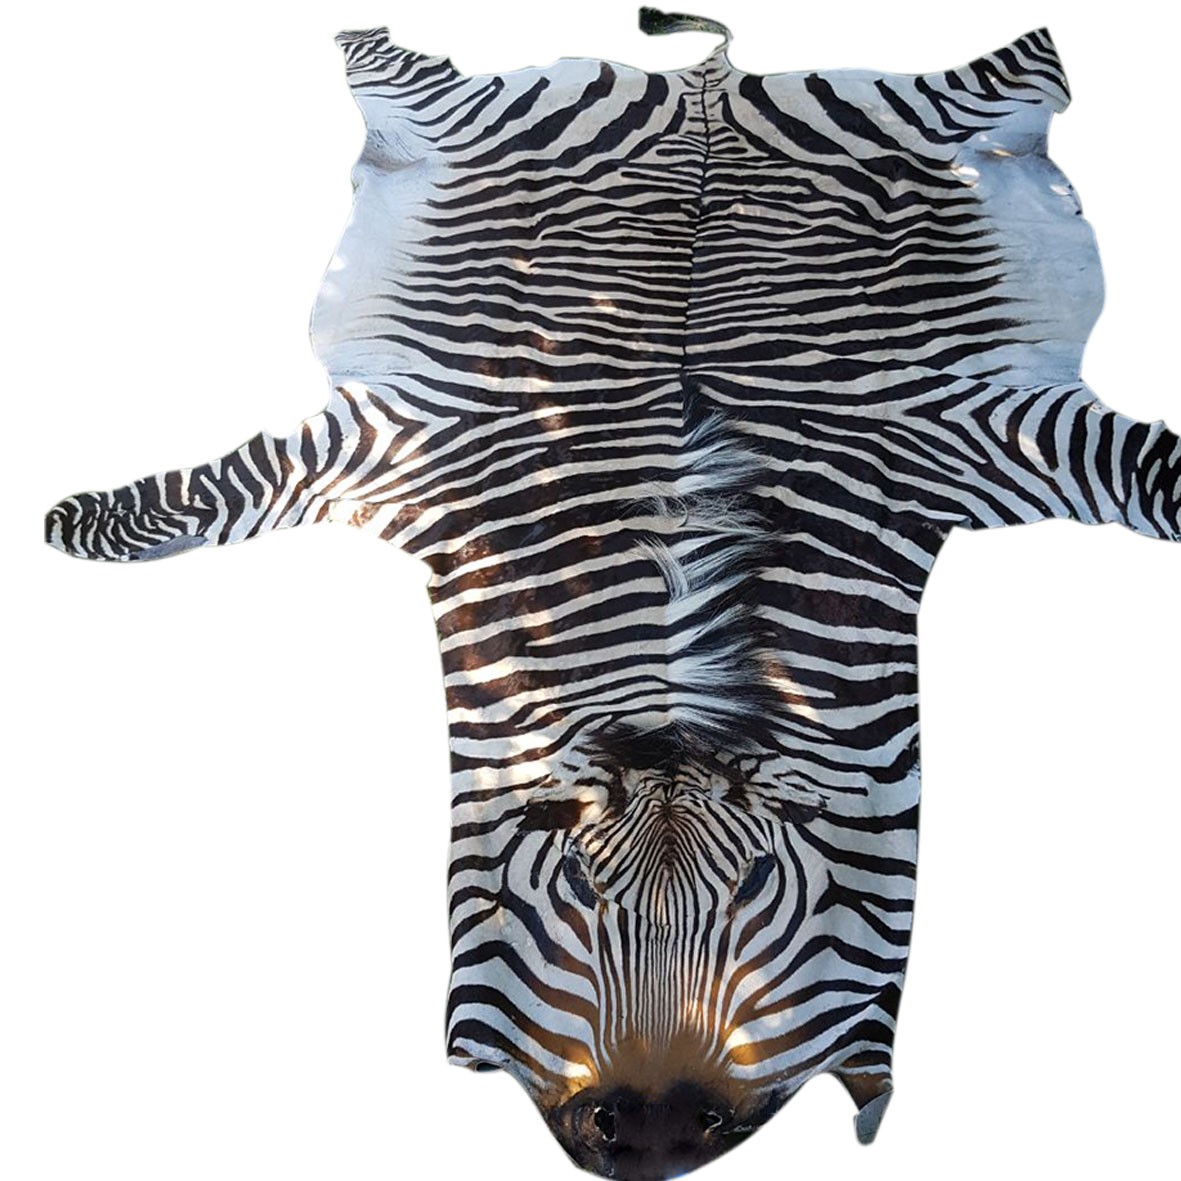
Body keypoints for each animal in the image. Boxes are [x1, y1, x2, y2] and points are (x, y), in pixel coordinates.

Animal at [43, 7, 1180, 1180]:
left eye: (752, 887)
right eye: (581, 889)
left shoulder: (976, 428)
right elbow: (225, 485)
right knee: (391, 66)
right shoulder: (402, 442)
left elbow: (1134, 465)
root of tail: (707, 83)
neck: (676, 635)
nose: (652, 1128)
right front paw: (79, 524)